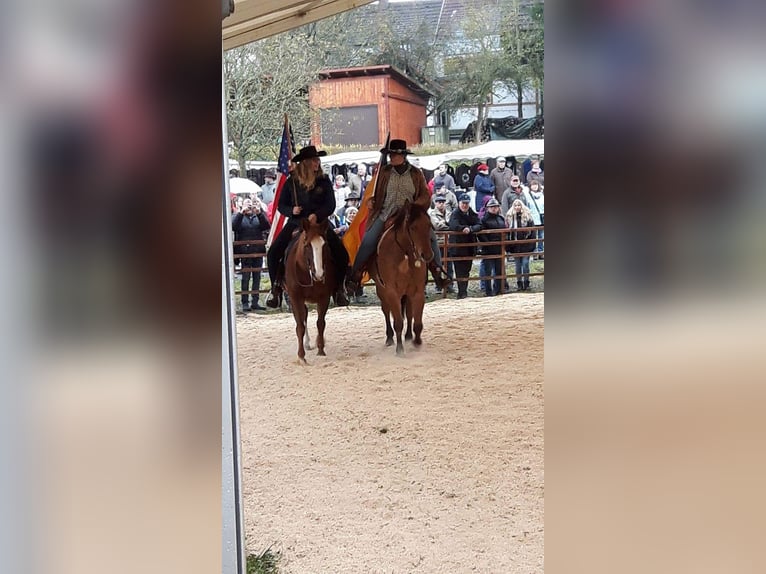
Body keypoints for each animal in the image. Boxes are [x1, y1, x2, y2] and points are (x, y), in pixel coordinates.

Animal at [283, 218, 337, 362]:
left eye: (324, 245)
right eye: (307, 245)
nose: (319, 274)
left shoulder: (324, 297)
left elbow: (320, 323)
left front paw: (321, 350)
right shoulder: (295, 298)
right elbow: (300, 326)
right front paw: (301, 356)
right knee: (303, 317)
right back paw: (306, 343)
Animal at [369, 201, 434, 356]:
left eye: (429, 225)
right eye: (413, 227)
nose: (427, 255)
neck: (404, 253)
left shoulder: (418, 292)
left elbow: (417, 322)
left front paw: (417, 342)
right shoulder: (392, 292)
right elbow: (397, 322)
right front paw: (399, 349)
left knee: (409, 313)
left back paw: (409, 336)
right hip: (381, 290)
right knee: (386, 311)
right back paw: (389, 338)